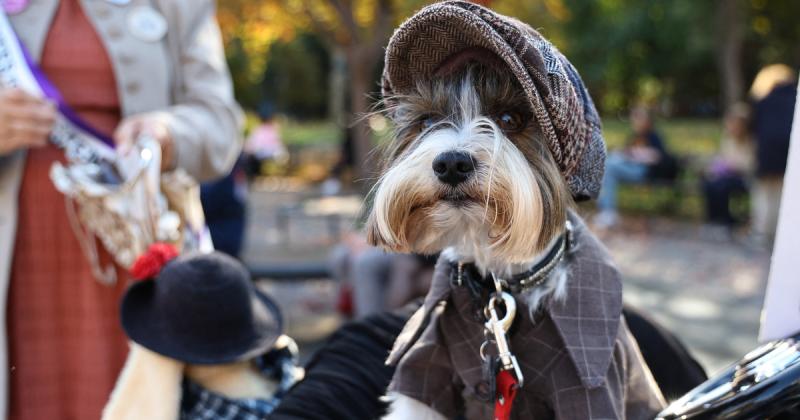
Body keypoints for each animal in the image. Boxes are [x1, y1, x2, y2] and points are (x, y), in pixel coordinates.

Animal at [366, 1, 664, 418]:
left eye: (510, 119)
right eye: (426, 121)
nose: (451, 163)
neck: (498, 283)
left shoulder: (591, 391)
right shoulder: (425, 366)